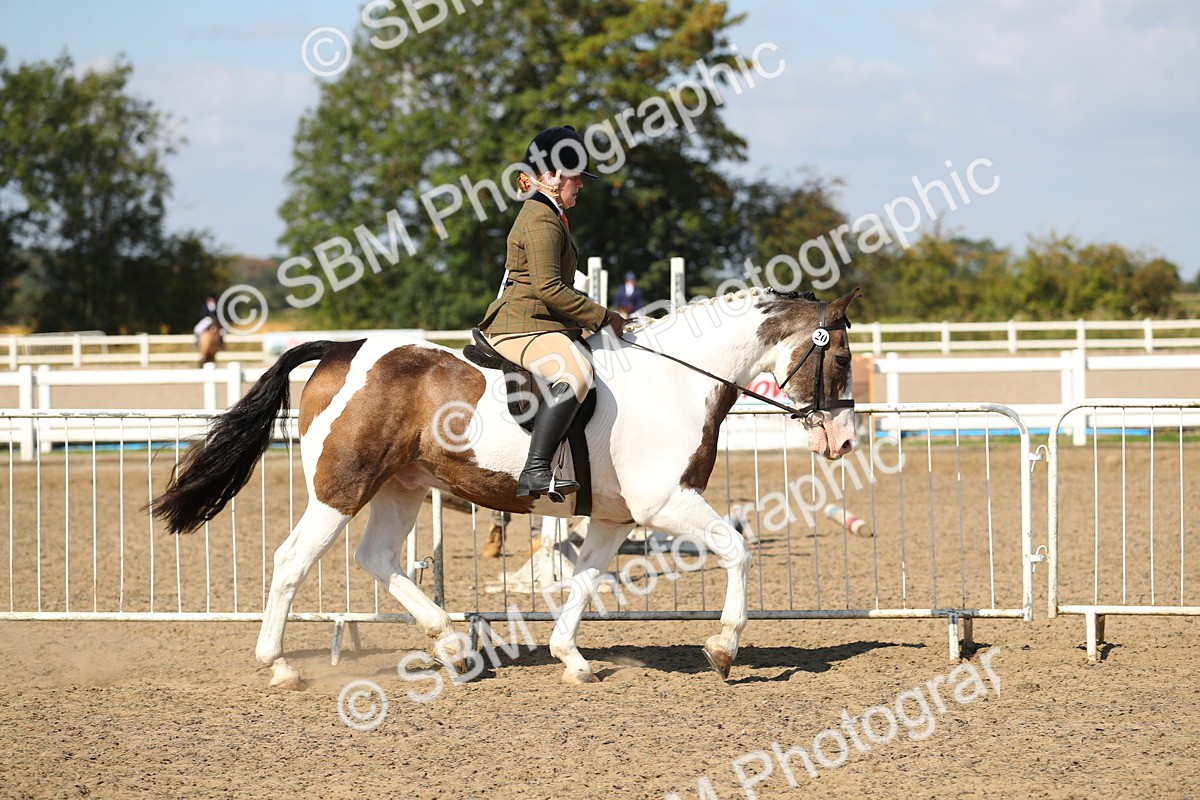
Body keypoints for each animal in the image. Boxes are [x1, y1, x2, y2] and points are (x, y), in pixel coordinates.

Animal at [150, 286, 861, 690]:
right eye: (843, 357)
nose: (844, 441)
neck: (678, 380)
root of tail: (340, 349)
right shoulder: (667, 503)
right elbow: (737, 549)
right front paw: (723, 648)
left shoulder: (614, 518)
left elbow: (583, 583)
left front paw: (571, 659)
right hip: (341, 489)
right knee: (293, 560)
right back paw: (280, 666)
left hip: (403, 487)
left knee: (376, 558)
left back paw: (450, 643)